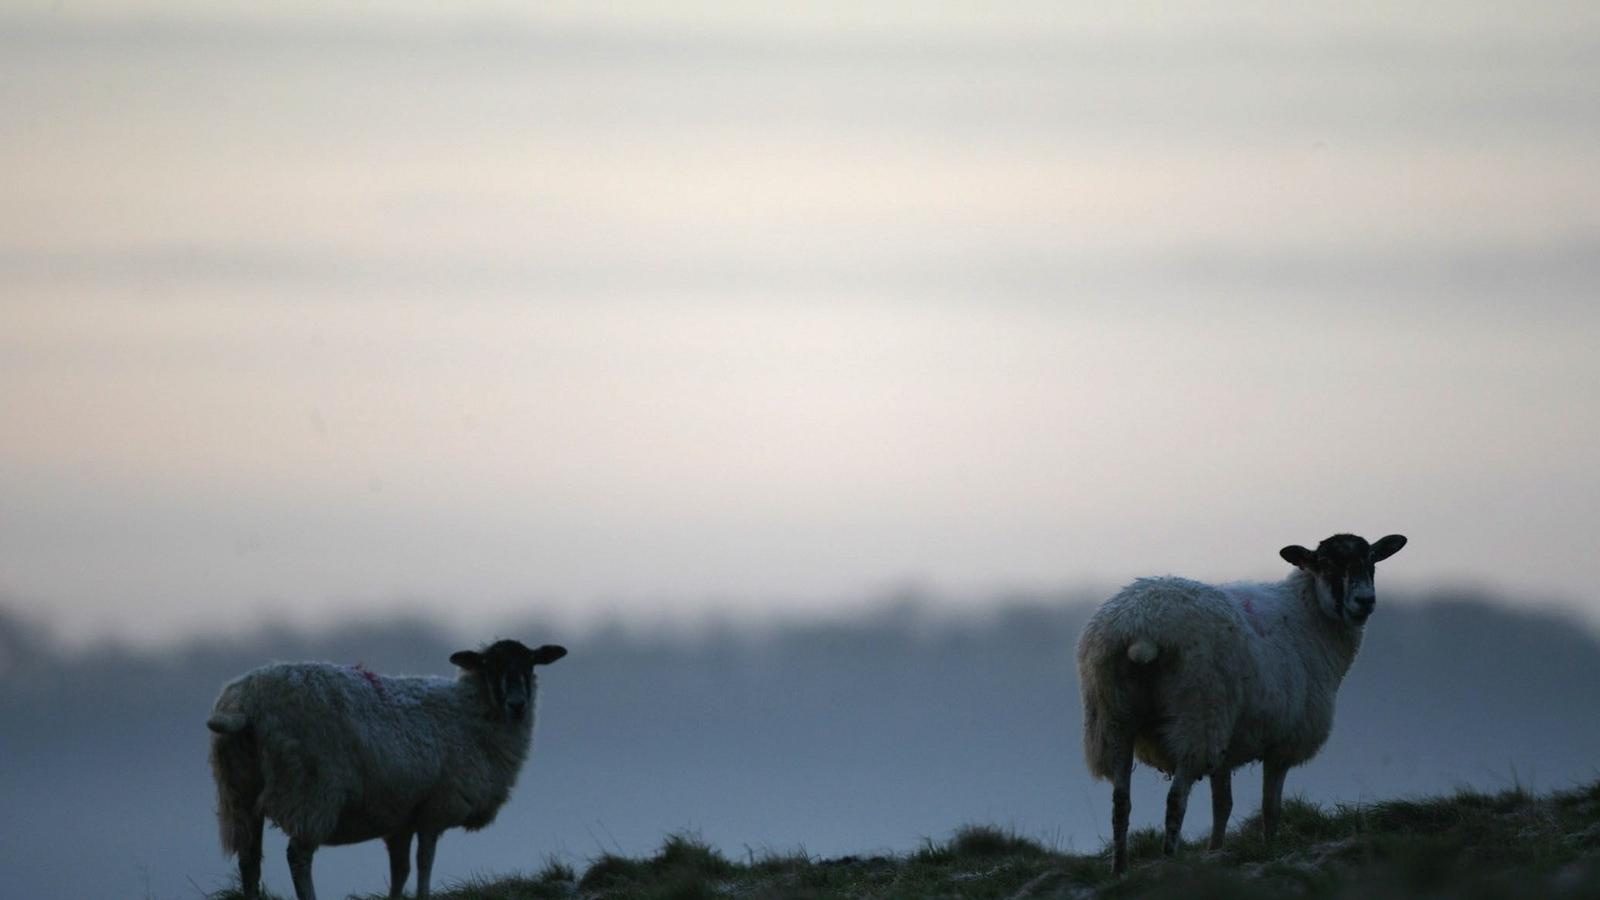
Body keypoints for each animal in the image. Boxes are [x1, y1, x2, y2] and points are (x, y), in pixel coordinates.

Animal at [206, 637, 569, 896]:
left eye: (531, 665)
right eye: (489, 666)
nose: (518, 704)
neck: (470, 714)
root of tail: (246, 702)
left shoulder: (401, 818)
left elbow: (401, 870)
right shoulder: (435, 807)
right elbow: (424, 863)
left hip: (237, 790)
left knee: (249, 860)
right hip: (310, 789)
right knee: (298, 856)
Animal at [1081, 531, 1408, 871]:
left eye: (1371, 561)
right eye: (1327, 565)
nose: (1365, 601)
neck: (1309, 616)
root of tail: (1143, 626)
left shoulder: (1227, 748)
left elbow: (1222, 805)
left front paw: (1215, 851)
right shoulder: (1281, 743)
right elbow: (1270, 807)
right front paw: (1269, 851)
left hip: (1113, 718)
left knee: (1121, 801)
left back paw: (1120, 870)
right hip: (1197, 716)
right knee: (1175, 799)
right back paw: (1169, 863)